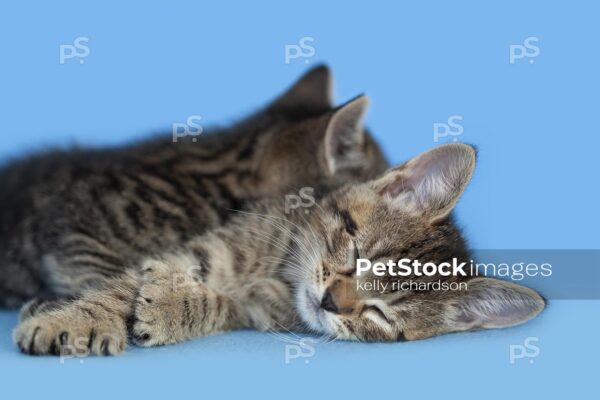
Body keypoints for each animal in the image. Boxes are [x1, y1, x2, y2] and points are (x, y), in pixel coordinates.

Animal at [14, 143, 548, 354]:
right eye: (357, 254)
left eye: (380, 314)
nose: (332, 302)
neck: (279, 271)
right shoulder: (205, 247)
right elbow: (120, 286)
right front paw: (73, 322)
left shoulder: (253, 312)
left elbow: (216, 304)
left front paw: (169, 306)